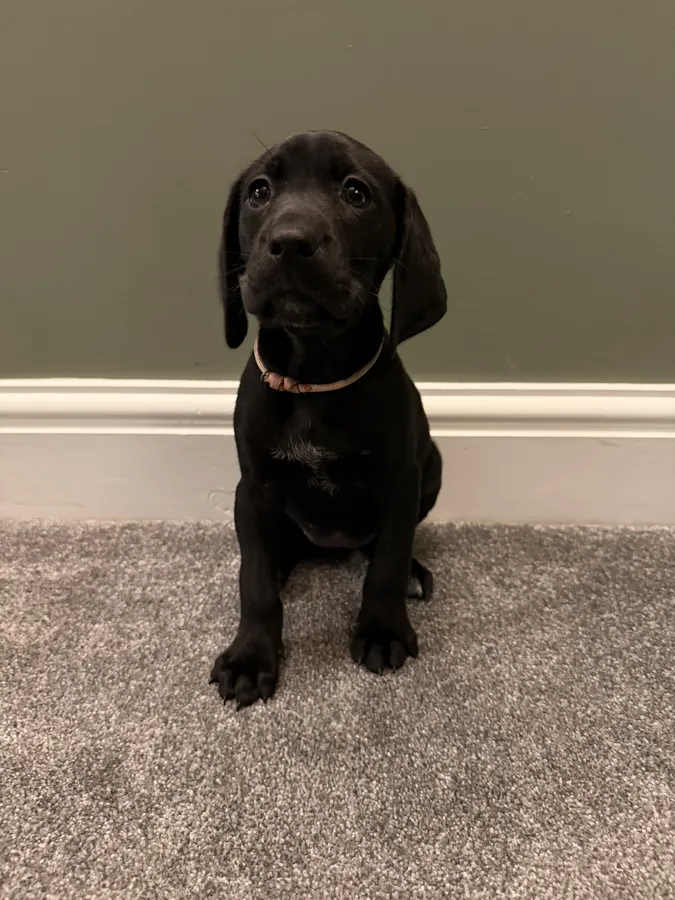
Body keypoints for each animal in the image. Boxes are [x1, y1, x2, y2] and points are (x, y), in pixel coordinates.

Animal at [210, 131, 447, 708]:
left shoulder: (401, 481)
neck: (312, 381)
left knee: (380, 547)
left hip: (433, 468)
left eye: (356, 192)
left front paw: (382, 630)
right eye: (259, 191)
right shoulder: (252, 490)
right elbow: (254, 581)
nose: (291, 241)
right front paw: (251, 657)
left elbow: (386, 563)